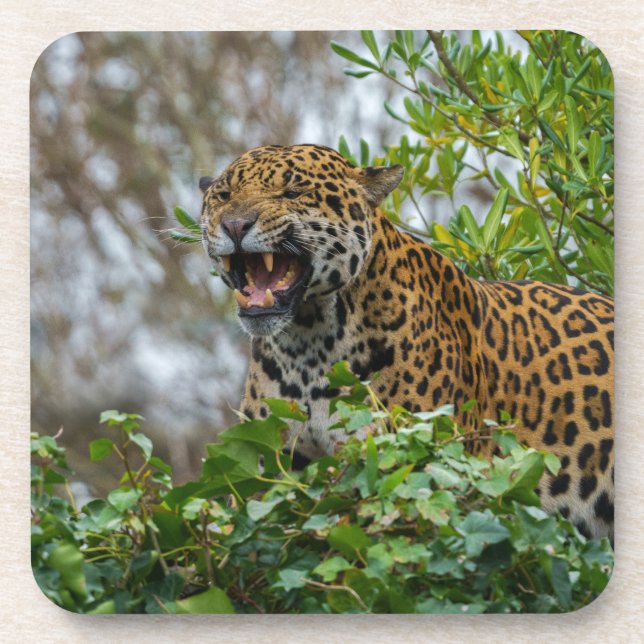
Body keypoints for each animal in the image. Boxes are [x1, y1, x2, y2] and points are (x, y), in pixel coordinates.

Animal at [199, 144, 614, 540]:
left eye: (293, 191)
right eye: (223, 195)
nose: (235, 225)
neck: (308, 346)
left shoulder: (418, 468)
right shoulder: (269, 465)